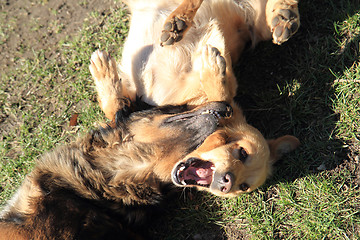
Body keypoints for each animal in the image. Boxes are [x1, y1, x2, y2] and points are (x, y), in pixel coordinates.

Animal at [89, 0, 300, 197]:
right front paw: (103, 70)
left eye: (243, 186)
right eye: (243, 153)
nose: (226, 182)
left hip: (258, 25)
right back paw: (178, 22)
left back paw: (283, 16)